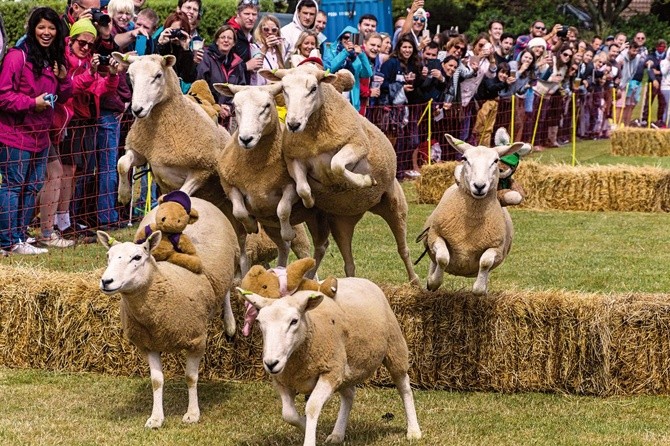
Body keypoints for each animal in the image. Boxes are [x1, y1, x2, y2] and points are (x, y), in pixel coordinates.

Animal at [98, 197, 239, 426]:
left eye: (137, 257)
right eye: (108, 257)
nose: (106, 281)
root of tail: (197, 198)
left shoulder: (197, 340)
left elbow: (191, 377)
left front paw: (192, 413)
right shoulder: (148, 345)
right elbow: (156, 381)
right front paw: (156, 418)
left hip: (230, 261)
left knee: (226, 290)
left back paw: (230, 325)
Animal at [239, 278, 422, 444]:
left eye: (294, 321)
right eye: (259, 322)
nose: (271, 363)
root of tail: (361, 279)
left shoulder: (330, 372)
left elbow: (312, 407)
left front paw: (310, 439)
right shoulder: (282, 380)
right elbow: (288, 414)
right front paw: (308, 427)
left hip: (394, 348)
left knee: (404, 387)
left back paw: (413, 431)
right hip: (345, 369)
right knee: (349, 396)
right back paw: (337, 434)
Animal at [420, 135, 524, 296]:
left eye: (495, 160)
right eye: (464, 158)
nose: (479, 186)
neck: (471, 221)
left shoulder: (497, 248)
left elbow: (485, 263)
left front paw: (480, 289)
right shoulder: (435, 235)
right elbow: (442, 258)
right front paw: (432, 282)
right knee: (434, 260)